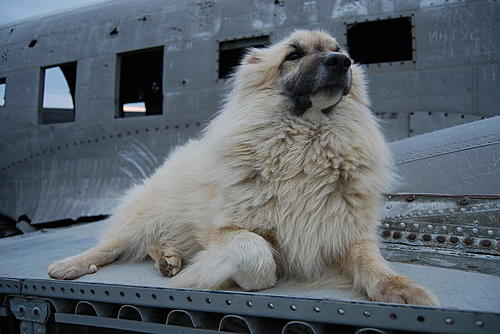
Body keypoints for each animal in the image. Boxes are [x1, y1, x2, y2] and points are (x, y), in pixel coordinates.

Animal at [47, 30, 438, 306]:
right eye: (293, 55)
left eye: (340, 50)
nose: (341, 61)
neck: (305, 146)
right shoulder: (225, 231)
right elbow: (258, 255)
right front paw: (242, 278)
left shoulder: (347, 233)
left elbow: (376, 266)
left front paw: (404, 290)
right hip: (145, 216)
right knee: (112, 246)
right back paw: (72, 264)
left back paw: (169, 258)